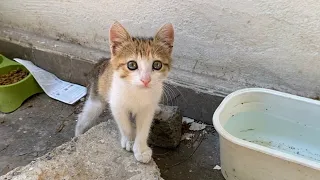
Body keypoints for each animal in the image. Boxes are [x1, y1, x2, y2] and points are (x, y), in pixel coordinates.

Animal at [75, 21, 175, 163]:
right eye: (132, 65)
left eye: (157, 65)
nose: (146, 80)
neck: (137, 91)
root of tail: (103, 62)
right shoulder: (117, 104)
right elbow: (125, 125)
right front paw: (129, 140)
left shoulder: (147, 108)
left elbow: (144, 128)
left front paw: (141, 149)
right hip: (97, 99)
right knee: (84, 116)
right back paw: (78, 135)